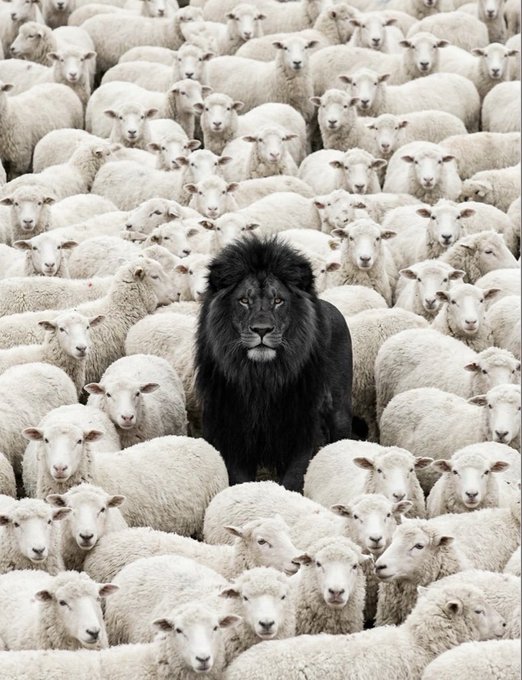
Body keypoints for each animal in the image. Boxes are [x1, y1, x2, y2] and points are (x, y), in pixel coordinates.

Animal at [195, 236, 353, 491]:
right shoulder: (233, 433)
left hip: (339, 413)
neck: (263, 378)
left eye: (278, 300)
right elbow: (240, 479)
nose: (262, 330)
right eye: (244, 300)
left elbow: (294, 478)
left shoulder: (301, 429)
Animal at [375, 330, 521, 422]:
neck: (468, 382)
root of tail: (405, 332)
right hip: (383, 399)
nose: (503, 387)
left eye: (513, 371)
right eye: (484, 371)